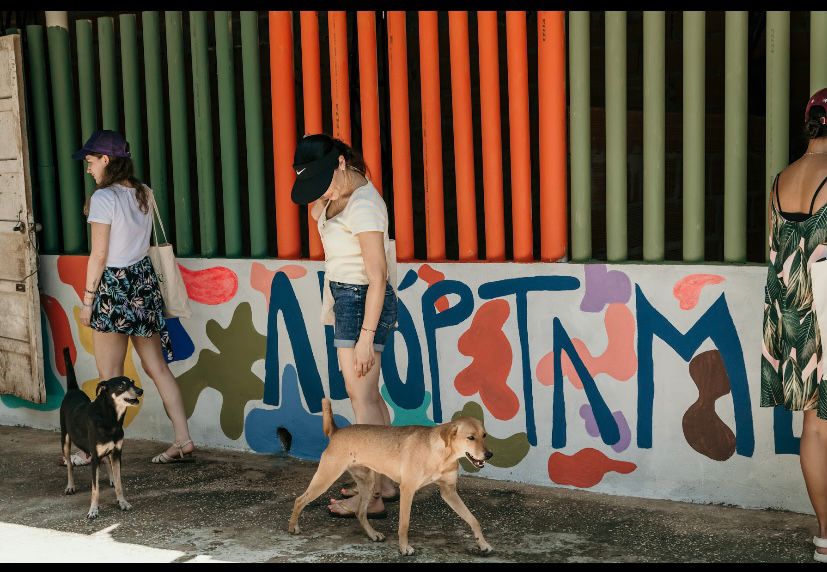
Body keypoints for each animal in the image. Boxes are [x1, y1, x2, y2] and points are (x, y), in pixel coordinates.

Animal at [60, 346, 142, 520]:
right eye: (121, 387)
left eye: (132, 382)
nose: (140, 391)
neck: (111, 418)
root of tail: (73, 390)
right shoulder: (95, 457)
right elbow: (95, 488)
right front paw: (93, 510)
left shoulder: (116, 453)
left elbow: (119, 482)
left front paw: (122, 502)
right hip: (65, 440)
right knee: (69, 464)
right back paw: (70, 486)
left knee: (106, 462)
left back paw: (110, 479)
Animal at [288, 398, 494, 556]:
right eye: (470, 437)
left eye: (484, 435)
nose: (489, 454)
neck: (442, 453)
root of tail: (337, 431)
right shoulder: (407, 490)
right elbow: (404, 524)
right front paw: (404, 548)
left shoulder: (449, 492)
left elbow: (473, 520)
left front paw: (483, 543)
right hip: (326, 478)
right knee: (300, 499)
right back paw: (292, 527)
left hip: (368, 483)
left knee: (360, 512)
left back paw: (373, 534)